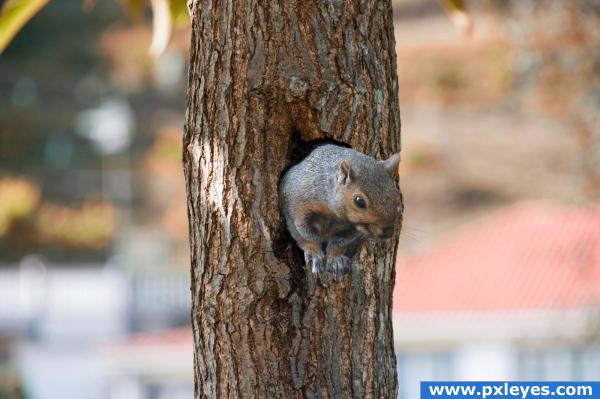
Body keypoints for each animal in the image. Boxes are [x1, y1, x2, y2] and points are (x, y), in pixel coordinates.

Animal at [278, 144, 400, 278]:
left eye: (396, 195)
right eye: (359, 201)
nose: (388, 233)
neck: (335, 215)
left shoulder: (351, 229)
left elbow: (340, 242)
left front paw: (335, 259)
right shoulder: (296, 208)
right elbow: (305, 235)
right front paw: (315, 253)